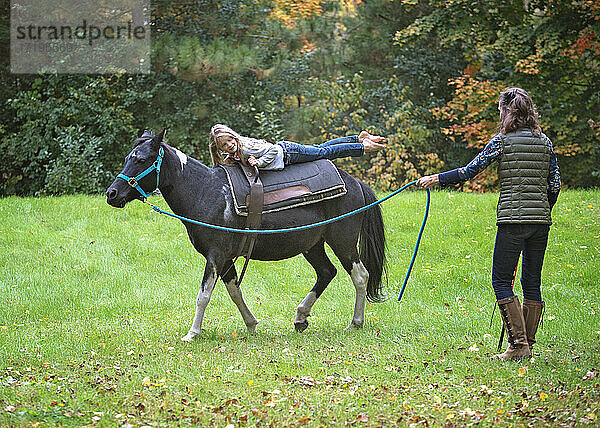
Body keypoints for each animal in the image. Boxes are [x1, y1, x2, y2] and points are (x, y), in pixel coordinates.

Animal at [106, 130, 390, 342]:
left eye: (141, 160)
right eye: (128, 158)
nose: (112, 194)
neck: (206, 192)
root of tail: (355, 183)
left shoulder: (216, 255)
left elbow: (203, 295)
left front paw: (192, 333)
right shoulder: (226, 259)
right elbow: (234, 291)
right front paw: (251, 324)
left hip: (343, 241)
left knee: (360, 275)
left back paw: (356, 322)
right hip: (312, 245)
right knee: (326, 272)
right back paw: (300, 316)